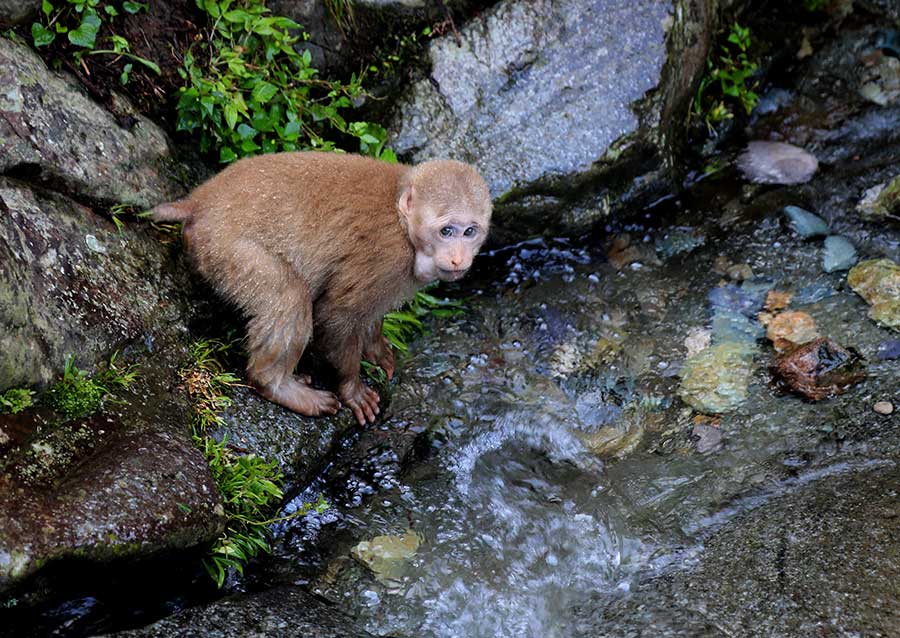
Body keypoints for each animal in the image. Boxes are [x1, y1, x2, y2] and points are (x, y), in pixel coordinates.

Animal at [155, 152, 492, 428]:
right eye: (446, 231)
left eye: (469, 231)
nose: (458, 258)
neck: (403, 221)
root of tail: (200, 201)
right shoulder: (387, 258)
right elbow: (336, 315)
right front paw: (352, 389)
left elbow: (368, 315)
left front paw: (376, 348)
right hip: (227, 249)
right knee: (289, 295)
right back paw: (276, 385)